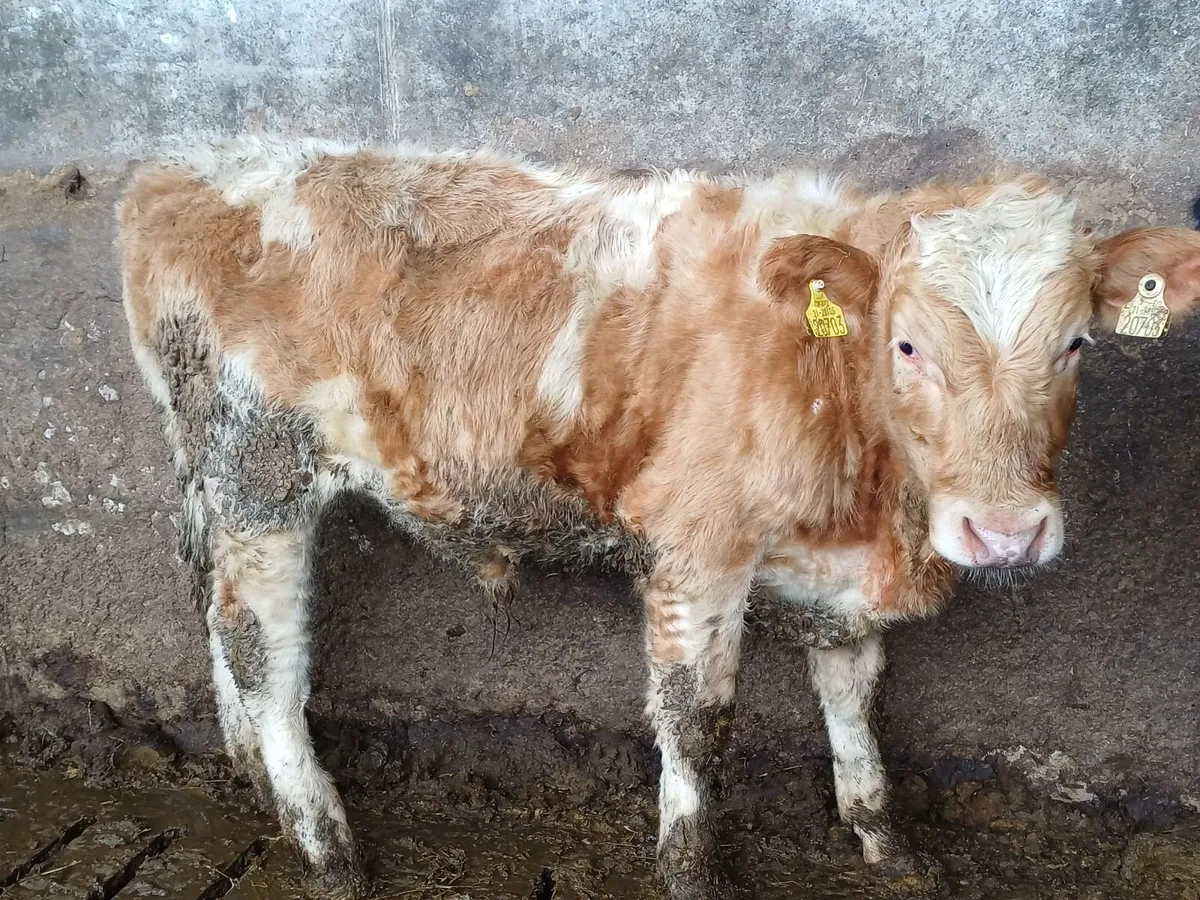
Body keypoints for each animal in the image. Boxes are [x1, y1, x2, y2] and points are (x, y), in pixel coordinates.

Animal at [117, 137, 1200, 900]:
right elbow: (697, 720)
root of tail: (181, 166)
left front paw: (887, 846)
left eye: (1075, 343)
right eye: (906, 344)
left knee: (217, 616)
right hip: (261, 474)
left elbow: (854, 699)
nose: (1006, 532)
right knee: (264, 654)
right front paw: (692, 870)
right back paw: (328, 848)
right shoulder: (697, 547)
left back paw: (252, 779)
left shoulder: (838, 577)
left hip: (217, 484)